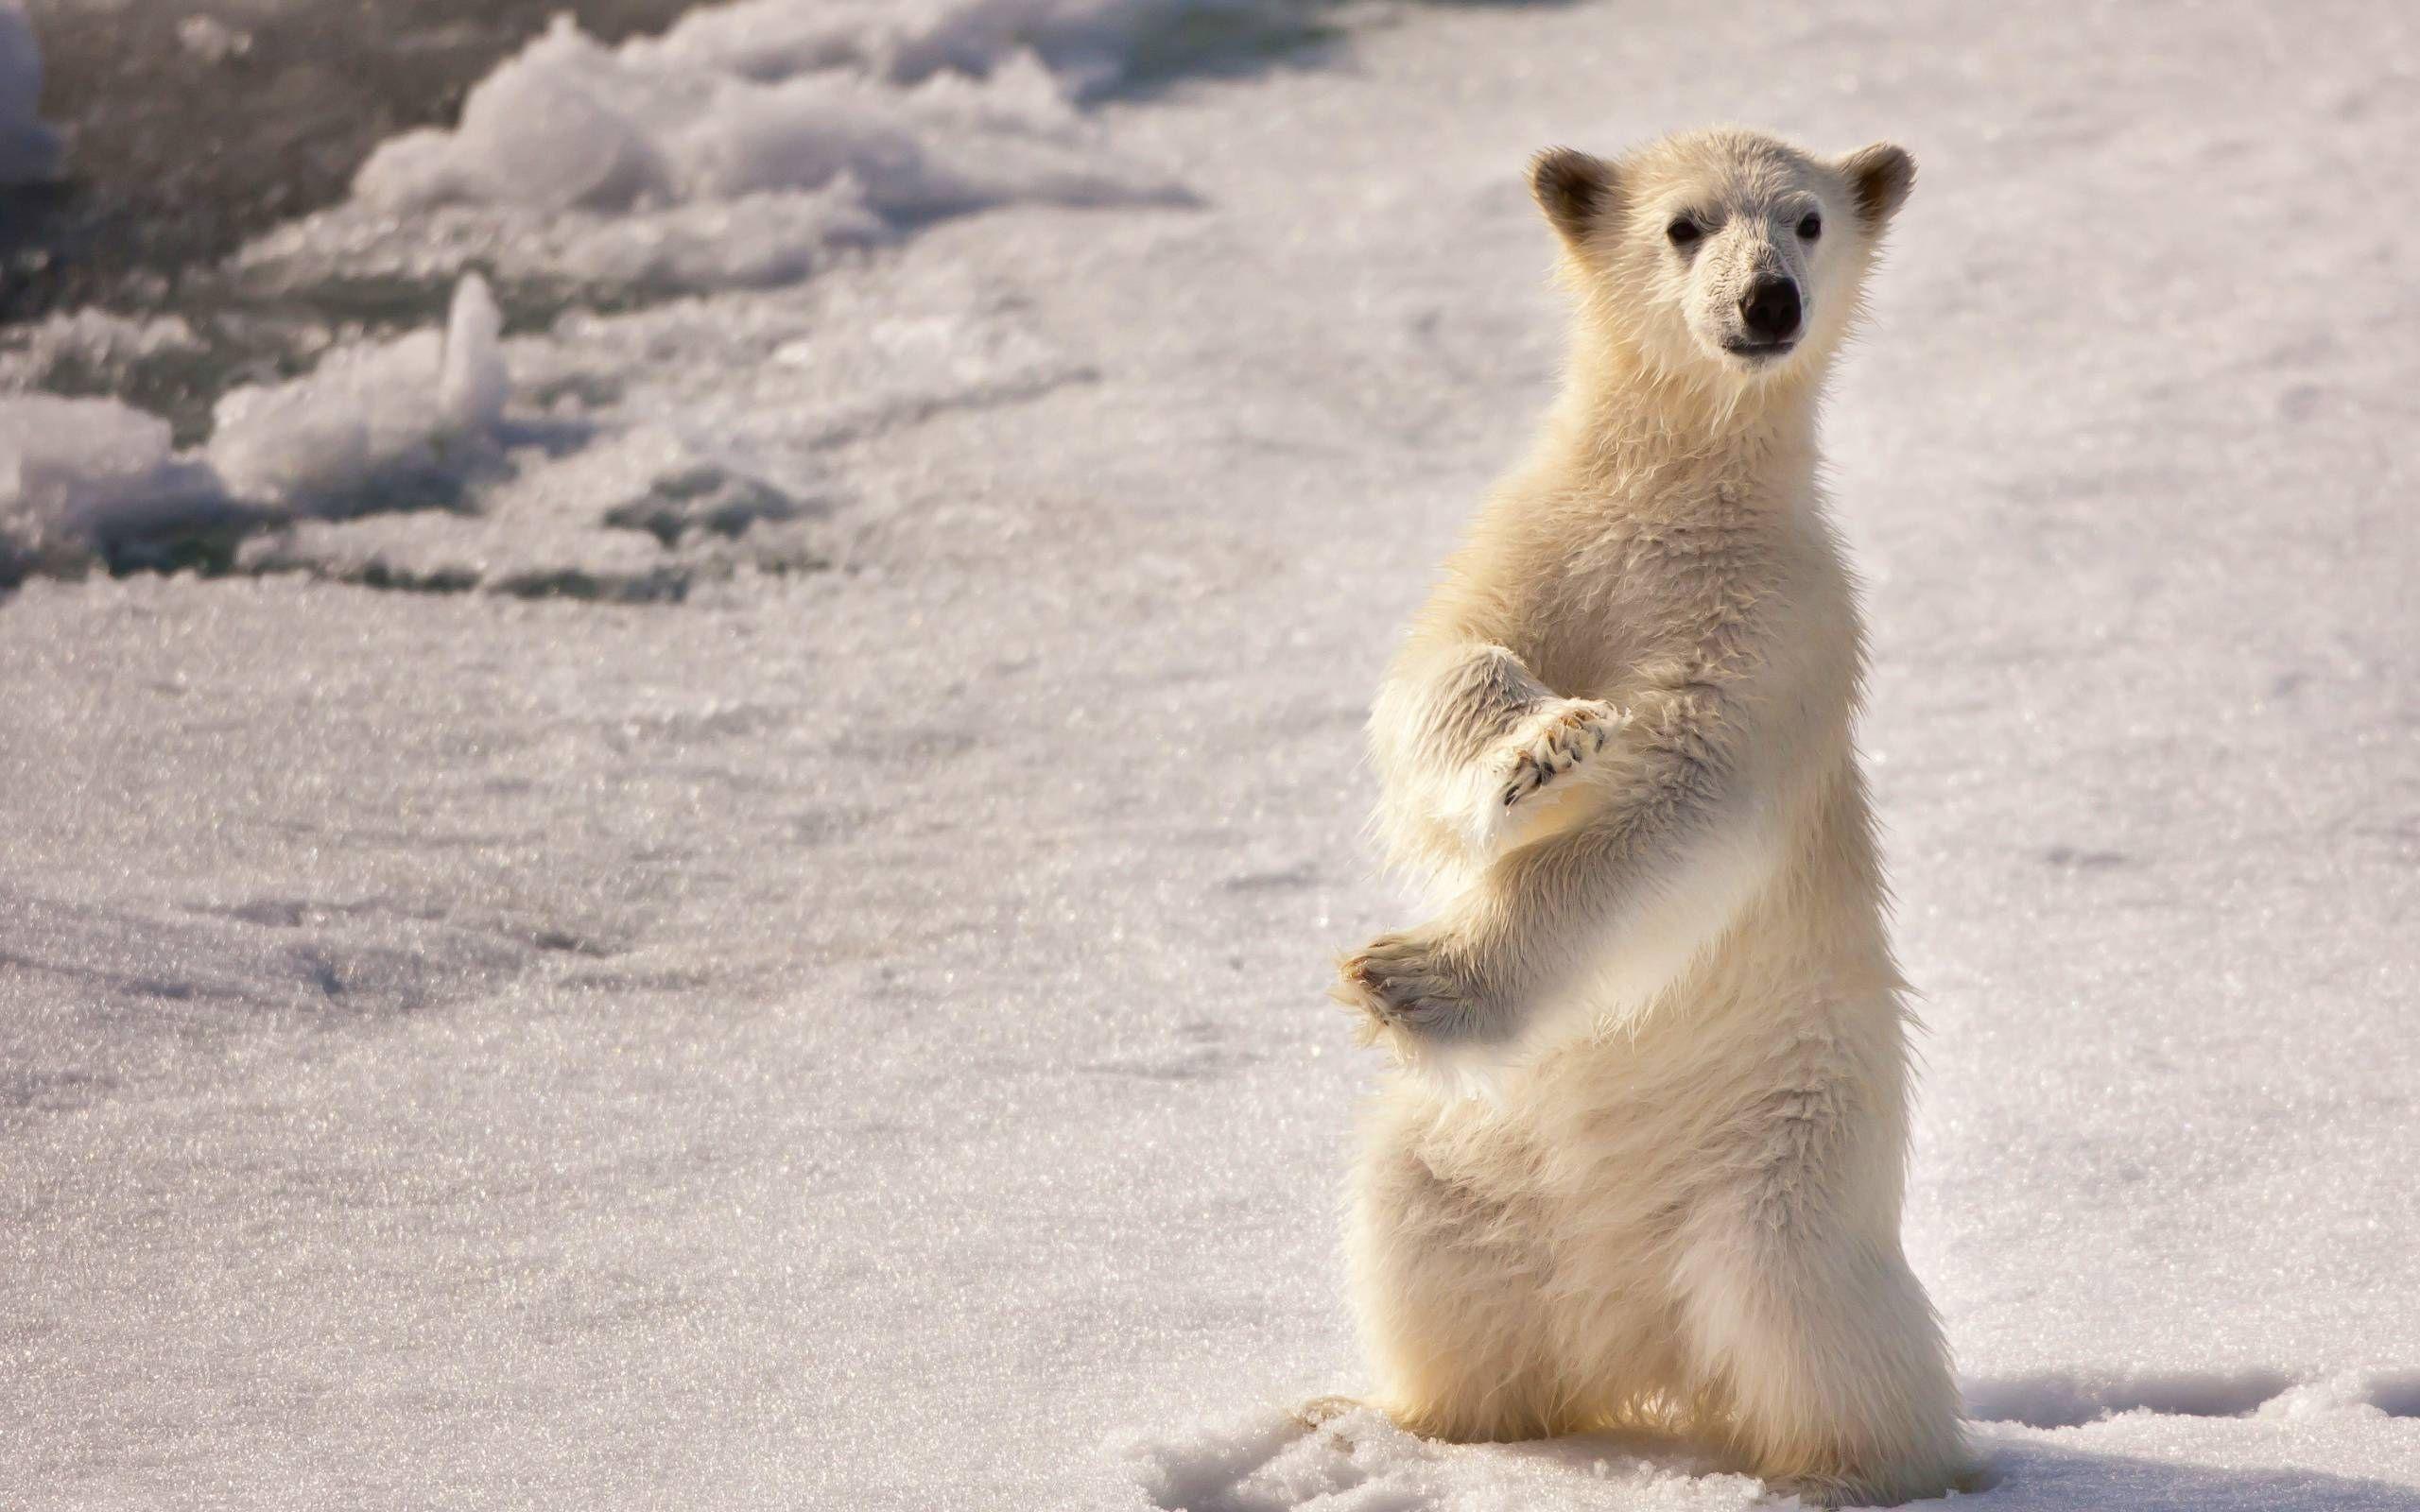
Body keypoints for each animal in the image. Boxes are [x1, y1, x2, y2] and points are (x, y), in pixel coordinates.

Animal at [1327, 128, 1969, 1506]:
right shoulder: (1535, 543)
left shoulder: (1775, 620)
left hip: (1787, 1148)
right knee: (1429, 1261)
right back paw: (1425, 1427)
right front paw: (1540, 750)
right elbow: (1438, 677)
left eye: (1808, 220)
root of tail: (1638, 1338)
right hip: (1464, 1160)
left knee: (1814, 1323)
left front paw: (1413, 978)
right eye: (1684, 225)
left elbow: (1683, 795)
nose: (1766, 302)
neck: (1675, 495)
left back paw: (1862, 1469)